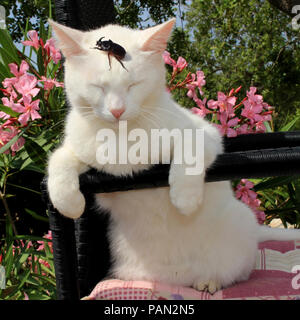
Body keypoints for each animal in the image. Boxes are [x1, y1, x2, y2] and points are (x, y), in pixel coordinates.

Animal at [48, 17, 298, 292]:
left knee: (236, 272)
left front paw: (185, 198)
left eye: (133, 85)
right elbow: (59, 159)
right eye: (98, 88)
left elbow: (190, 147)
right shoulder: (79, 146)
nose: (117, 110)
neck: (121, 134)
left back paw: (210, 282)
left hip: (238, 226)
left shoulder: (207, 133)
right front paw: (67, 201)